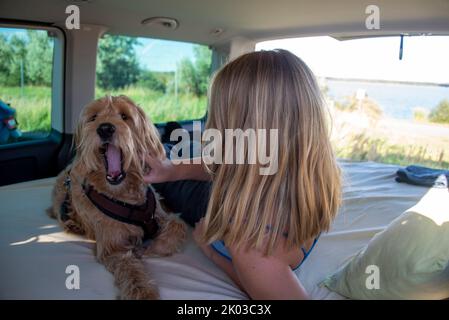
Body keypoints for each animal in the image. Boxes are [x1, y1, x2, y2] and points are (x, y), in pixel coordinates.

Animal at [49, 95, 187, 300]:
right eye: (94, 117)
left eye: (124, 116)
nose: (105, 128)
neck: (124, 196)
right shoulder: (112, 245)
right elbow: (130, 267)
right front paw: (143, 292)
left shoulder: (159, 215)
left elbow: (178, 225)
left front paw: (155, 247)